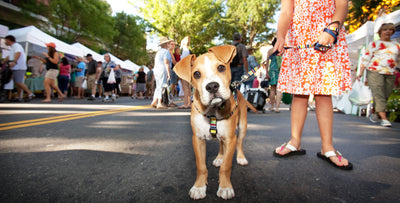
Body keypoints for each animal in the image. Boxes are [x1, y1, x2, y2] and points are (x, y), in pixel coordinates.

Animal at [173, 44, 255, 200]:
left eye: (221, 67)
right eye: (196, 74)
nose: (212, 86)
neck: (213, 112)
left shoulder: (230, 139)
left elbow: (226, 167)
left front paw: (225, 187)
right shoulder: (197, 139)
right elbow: (201, 166)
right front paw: (199, 187)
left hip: (242, 126)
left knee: (240, 142)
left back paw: (240, 158)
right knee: (221, 144)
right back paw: (219, 158)